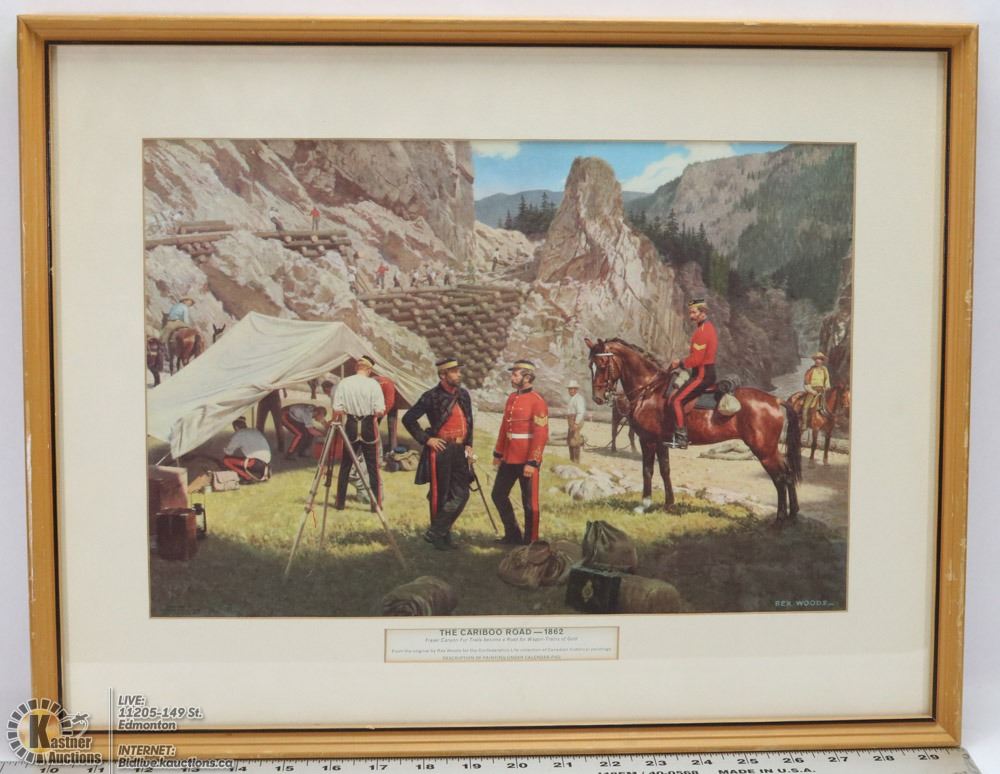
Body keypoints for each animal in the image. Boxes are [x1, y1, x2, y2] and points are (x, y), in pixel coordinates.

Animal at [586, 337, 802, 524]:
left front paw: (644, 504)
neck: (649, 390)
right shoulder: (661, 443)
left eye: (603, 365)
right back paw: (793, 515)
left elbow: (647, 471)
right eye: (591, 366)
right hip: (770, 450)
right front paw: (669, 504)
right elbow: (664, 470)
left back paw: (780, 518)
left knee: (780, 478)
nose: (597, 397)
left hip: (764, 451)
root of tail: (776, 400)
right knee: (788, 473)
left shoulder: (648, 441)